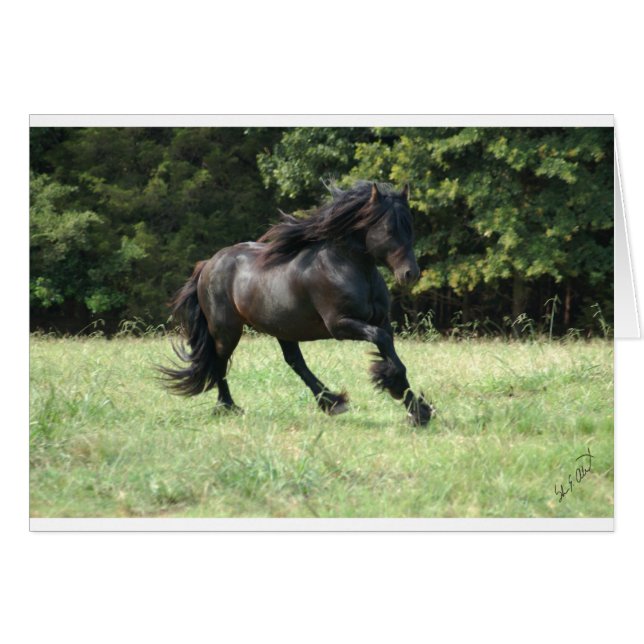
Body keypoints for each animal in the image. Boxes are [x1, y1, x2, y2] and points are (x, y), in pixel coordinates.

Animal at [159, 181, 434, 426]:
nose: (410, 273)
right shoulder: (340, 325)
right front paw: (402, 394)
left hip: (282, 328)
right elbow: (383, 344)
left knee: (293, 361)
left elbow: (390, 351)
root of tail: (208, 264)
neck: (346, 267)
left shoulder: (381, 321)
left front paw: (416, 410)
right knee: (220, 362)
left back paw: (332, 402)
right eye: (389, 229)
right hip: (226, 331)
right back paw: (228, 407)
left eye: (410, 226)